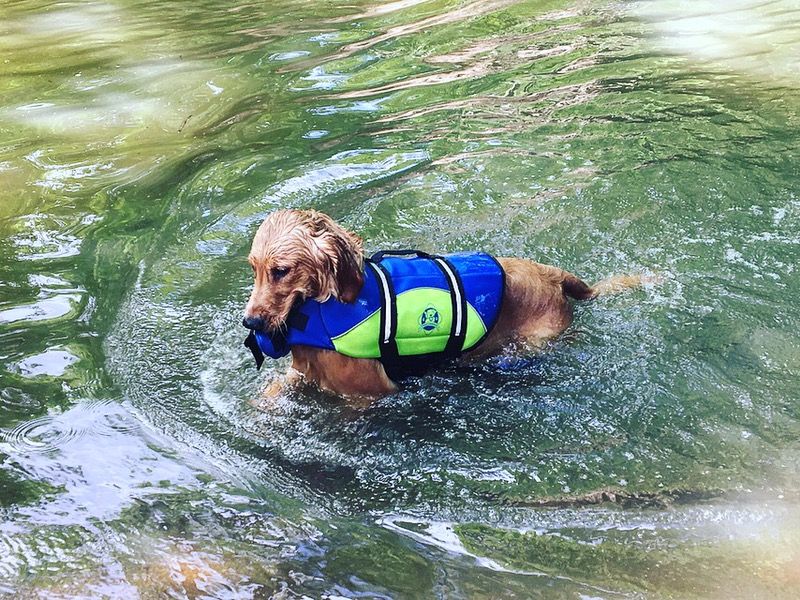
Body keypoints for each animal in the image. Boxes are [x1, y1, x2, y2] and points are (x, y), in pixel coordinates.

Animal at [241, 209, 640, 400]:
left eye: (281, 271)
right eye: (254, 269)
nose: (251, 323)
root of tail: (553, 274)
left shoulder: (369, 396)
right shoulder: (301, 374)